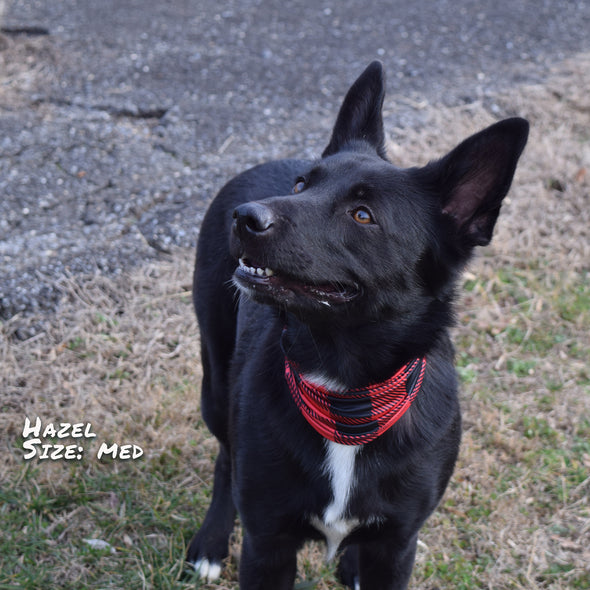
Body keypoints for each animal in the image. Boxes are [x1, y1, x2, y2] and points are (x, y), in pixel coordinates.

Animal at [187, 62, 528, 588]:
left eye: (362, 215)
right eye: (301, 186)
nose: (244, 218)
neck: (345, 393)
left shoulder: (397, 546)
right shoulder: (267, 546)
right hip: (217, 382)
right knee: (226, 454)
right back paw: (210, 543)